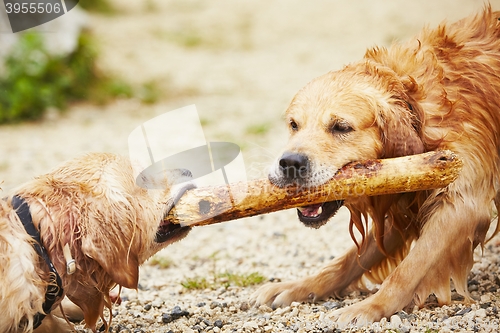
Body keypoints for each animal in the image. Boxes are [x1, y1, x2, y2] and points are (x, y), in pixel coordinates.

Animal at [252, 6, 500, 326]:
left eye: (341, 127)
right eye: (294, 124)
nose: (289, 163)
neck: (418, 107)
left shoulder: (462, 204)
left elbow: (408, 269)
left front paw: (368, 307)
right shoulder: (406, 202)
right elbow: (347, 262)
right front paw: (300, 286)